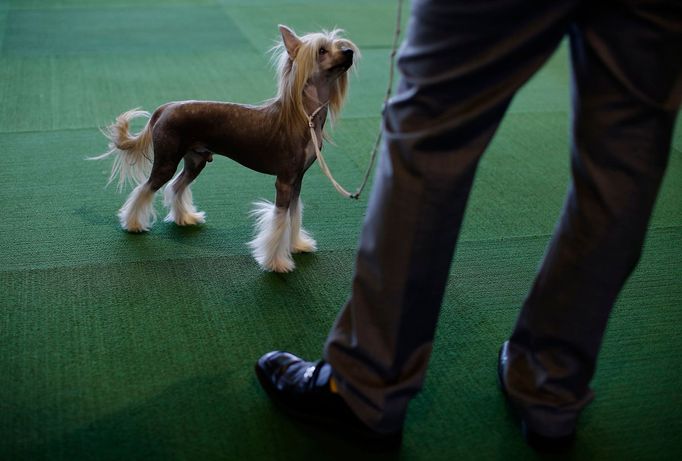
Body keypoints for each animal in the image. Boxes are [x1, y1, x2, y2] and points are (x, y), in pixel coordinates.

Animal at [93, 26, 358, 274]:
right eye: (322, 50)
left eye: (338, 44)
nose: (349, 52)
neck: (306, 117)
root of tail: (166, 107)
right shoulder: (284, 181)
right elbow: (280, 220)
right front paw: (277, 263)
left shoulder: (297, 180)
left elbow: (294, 214)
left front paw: (297, 245)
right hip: (166, 162)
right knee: (145, 189)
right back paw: (133, 224)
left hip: (196, 161)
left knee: (176, 186)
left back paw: (185, 218)